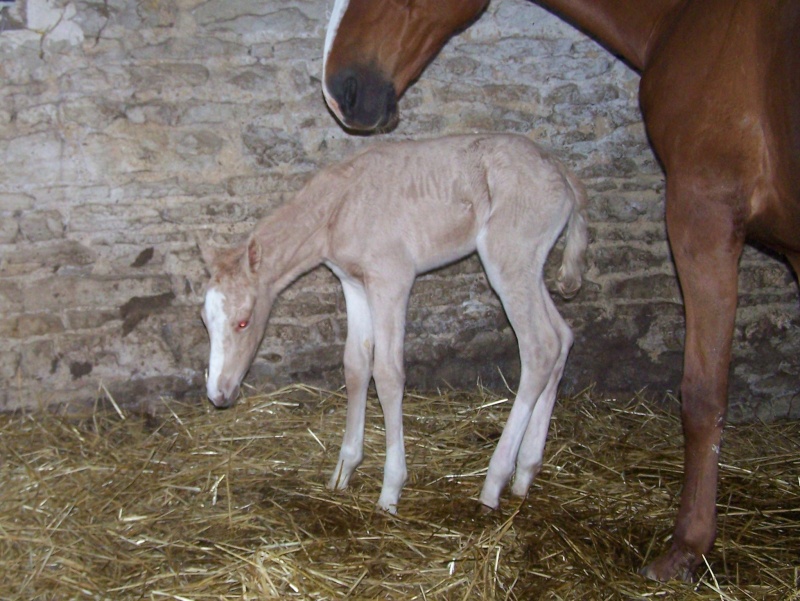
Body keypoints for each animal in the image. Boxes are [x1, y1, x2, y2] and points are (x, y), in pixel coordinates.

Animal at [320, 0, 800, 584]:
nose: (341, 92)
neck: (679, 22)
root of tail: (564, 180)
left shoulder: (703, 210)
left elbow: (703, 390)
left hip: (512, 262)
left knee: (542, 344)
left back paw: (494, 481)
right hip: (525, 266)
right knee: (562, 336)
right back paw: (525, 471)